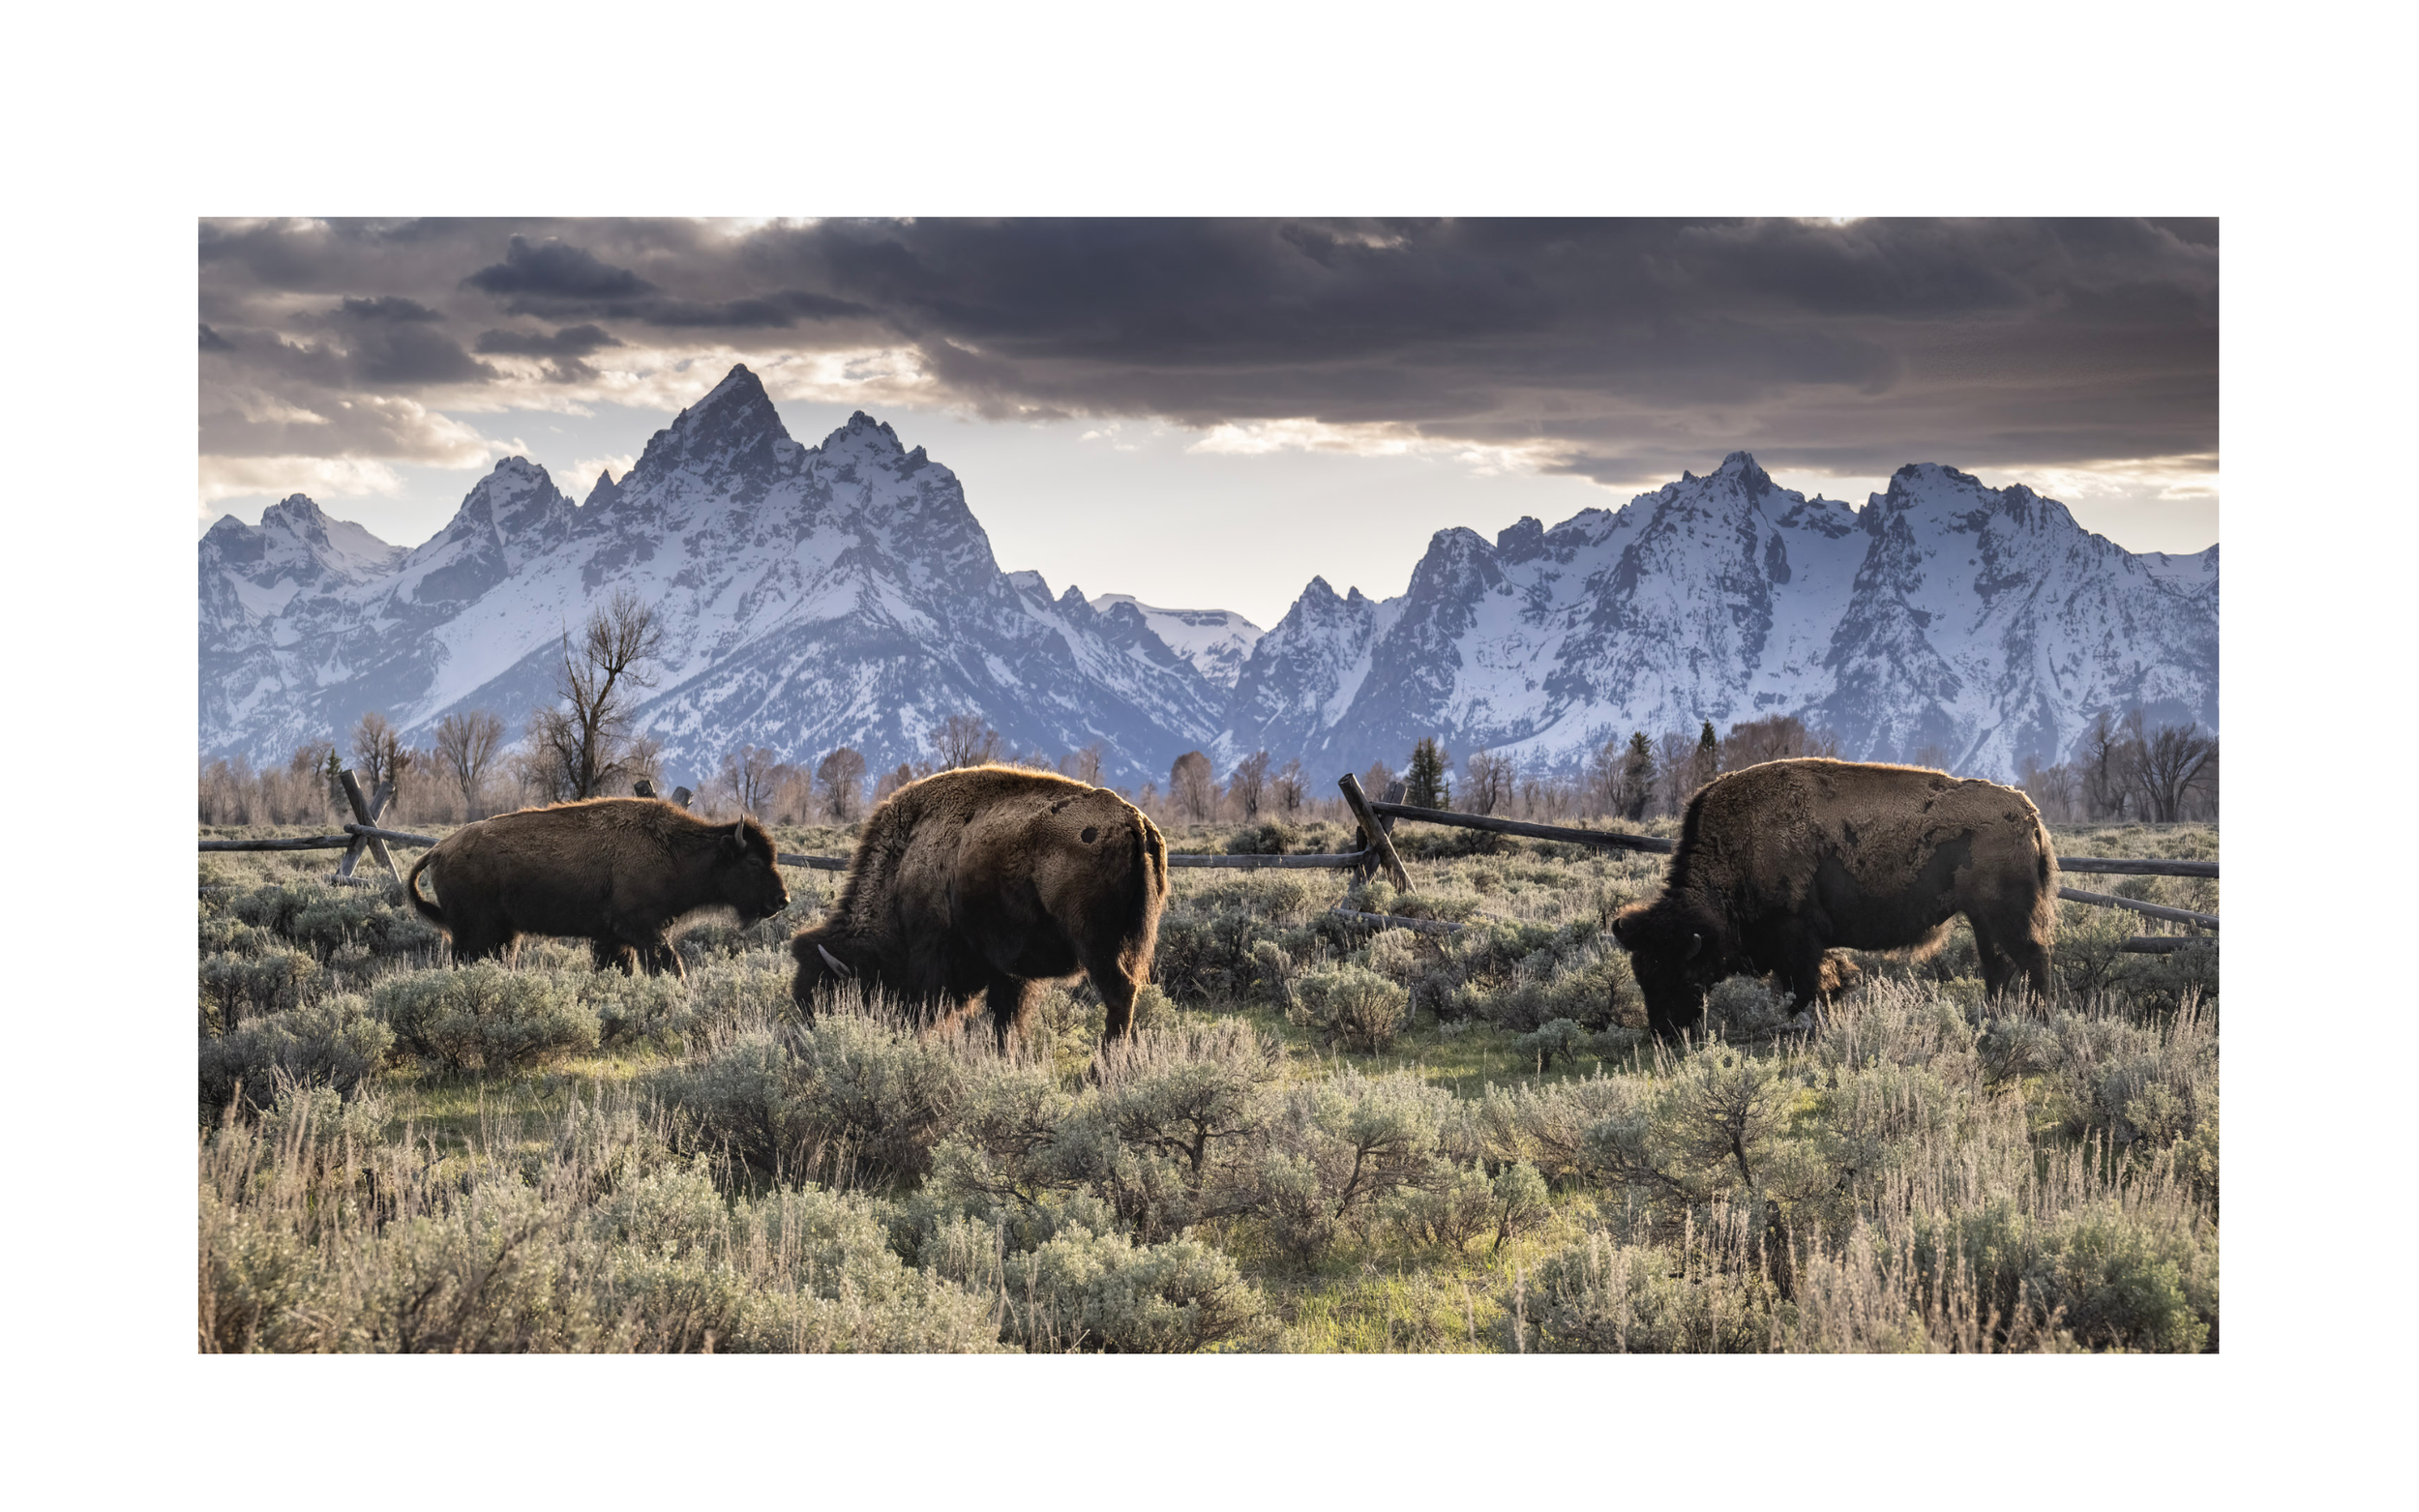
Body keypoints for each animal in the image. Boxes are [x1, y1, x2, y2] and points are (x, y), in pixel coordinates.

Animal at [406, 798, 789, 979]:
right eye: (753, 862)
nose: (782, 899)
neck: (673, 849)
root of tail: (439, 849)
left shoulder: (614, 938)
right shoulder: (644, 931)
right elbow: (671, 967)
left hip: (504, 933)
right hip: (474, 932)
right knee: (464, 959)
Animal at [791, 765, 1169, 1047]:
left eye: (827, 991)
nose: (803, 1037)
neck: (904, 861)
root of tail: (1134, 822)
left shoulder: (935, 958)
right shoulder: (1010, 969)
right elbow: (1007, 1020)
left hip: (1096, 943)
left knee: (1120, 994)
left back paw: (1102, 1071)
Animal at [1610, 758, 2057, 1037]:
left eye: (1683, 974)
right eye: (1642, 976)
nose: (1664, 1033)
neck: (1739, 849)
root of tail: (2027, 813)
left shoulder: (1798, 939)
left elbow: (1804, 988)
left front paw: (1800, 1025)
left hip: (2008, 915)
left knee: (2032, 959)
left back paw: (2039, 1021)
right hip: (1982, 918)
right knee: (1997, 967)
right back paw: (1993, 1016)